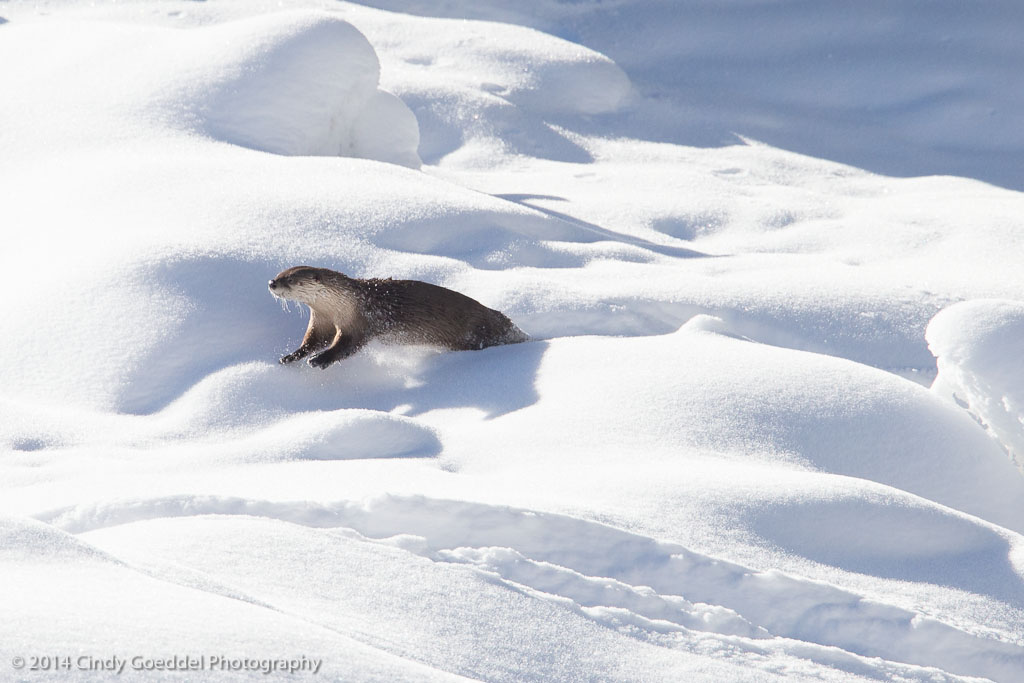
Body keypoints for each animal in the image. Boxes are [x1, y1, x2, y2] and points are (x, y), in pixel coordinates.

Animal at [268, 266, 528, 368]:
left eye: (290, 279)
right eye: (280, 273)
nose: (271, 282)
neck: (344, 304)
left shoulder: (361, 321)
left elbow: (346, 346)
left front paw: (320, 360)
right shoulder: (321, 320)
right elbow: (313, 341)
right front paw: (291, 357)